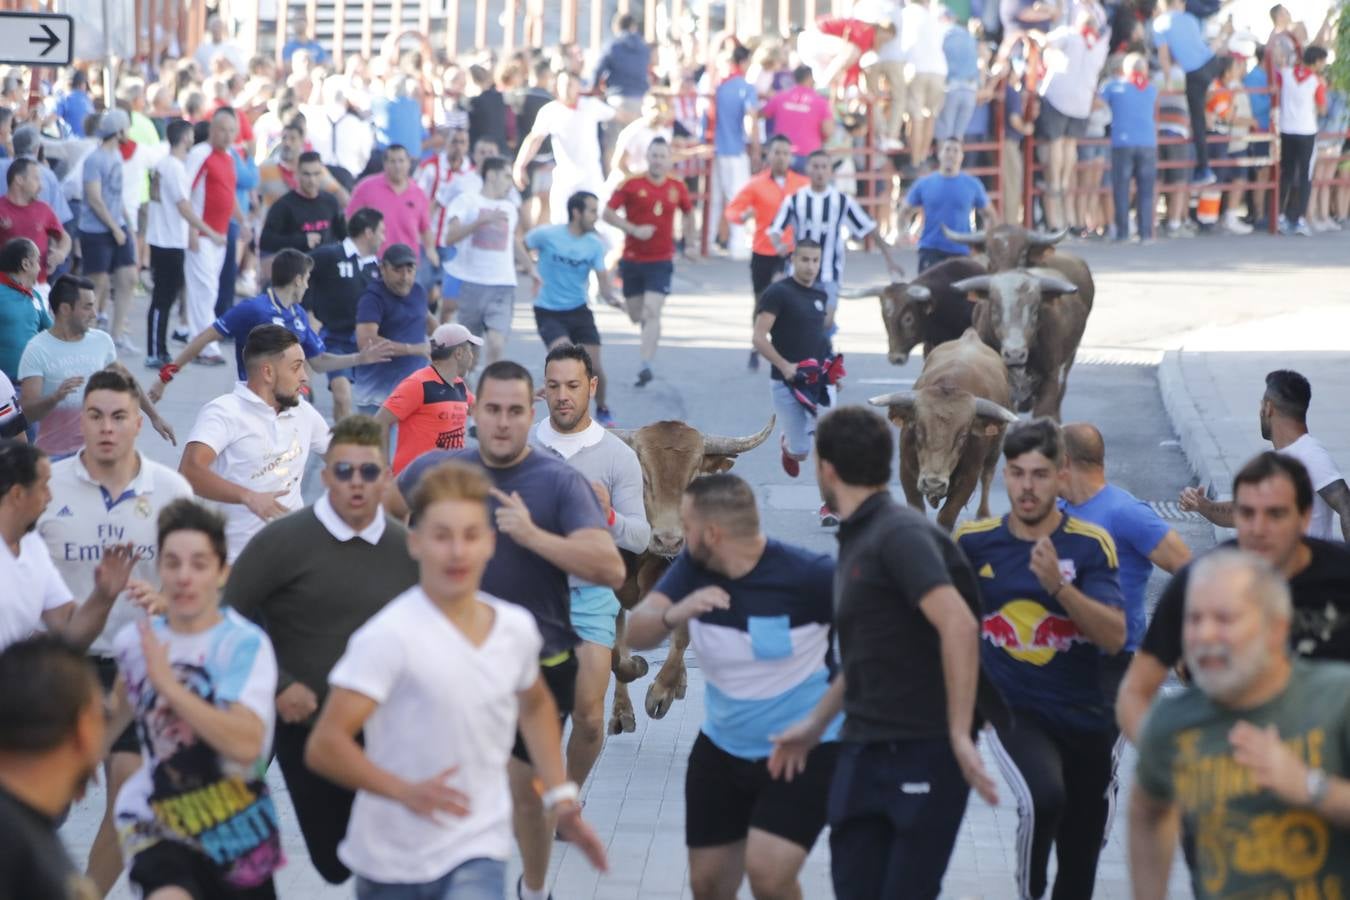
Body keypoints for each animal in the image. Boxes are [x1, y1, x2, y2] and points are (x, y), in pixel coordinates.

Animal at [607, 415, 777, 734]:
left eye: (693, 477)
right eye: (643, 475)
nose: (669, 540)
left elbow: (682, 635)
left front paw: (662, 691)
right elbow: (616, 650)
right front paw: (629, 688)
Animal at [869, 329, 1015, 528]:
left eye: (963, 436)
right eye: (919, 430)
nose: (933, 484)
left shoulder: (968, 479)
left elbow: (947, 516)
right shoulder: (906, 472)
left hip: (995, 449)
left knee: (987, 475)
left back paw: (983, 514)